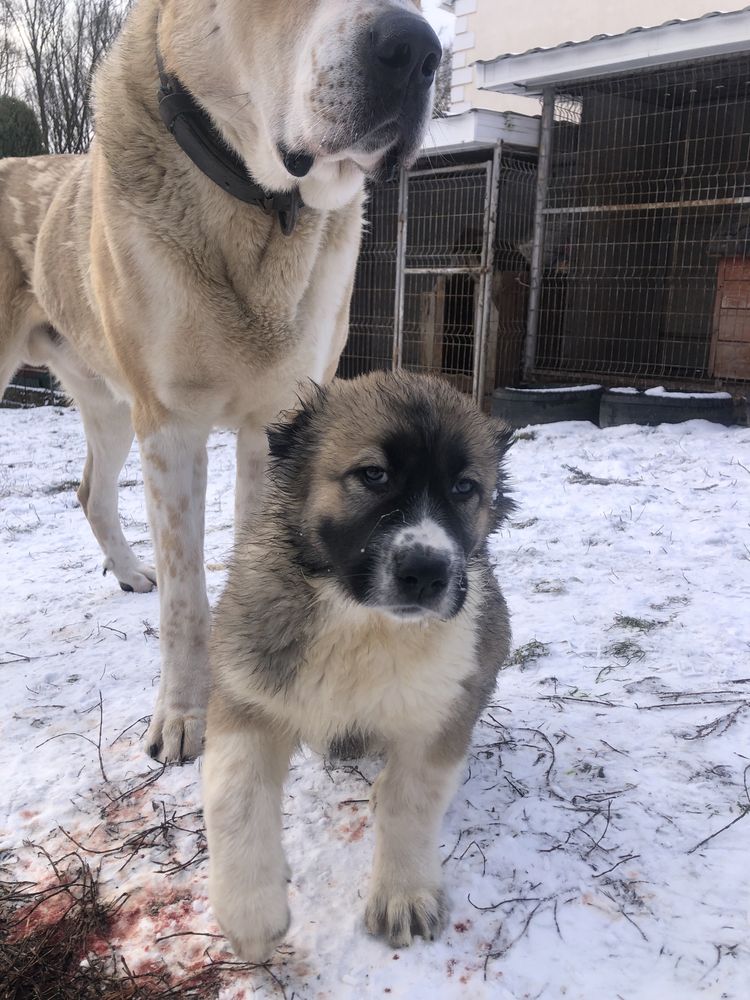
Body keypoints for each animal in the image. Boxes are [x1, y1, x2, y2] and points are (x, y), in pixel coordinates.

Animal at [0, 0, 444, 756]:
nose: (415, 51)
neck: (261, 208)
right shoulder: (171, 425)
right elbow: (186, 595)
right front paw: (183, 716)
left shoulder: (276, 422)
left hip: (107, 404)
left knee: (91, 491)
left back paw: (128, 572)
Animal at [203, 374, 516, 960]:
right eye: (374, 475)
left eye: (465, 488)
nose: (427, 573)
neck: (362, 622)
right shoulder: (247, 696)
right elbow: (234, 798)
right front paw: (251, 912)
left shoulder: (439, 715)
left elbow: (409, 801)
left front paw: (404, 894)